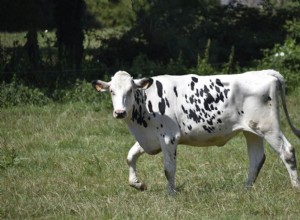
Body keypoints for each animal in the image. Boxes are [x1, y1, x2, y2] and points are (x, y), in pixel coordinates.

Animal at [91, 69, 300, 193]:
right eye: (112, 92)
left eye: (130, 90)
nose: (120, 112)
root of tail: (265, 73)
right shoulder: (150, 138)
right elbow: (130, 156)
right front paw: (137, 184)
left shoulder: (168, 137)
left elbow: (168, 168)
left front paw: (171, 193)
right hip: (252, 130)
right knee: (256, 158)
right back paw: (246, 188)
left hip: (268, 127)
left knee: (287, 151)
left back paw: (295, 187)